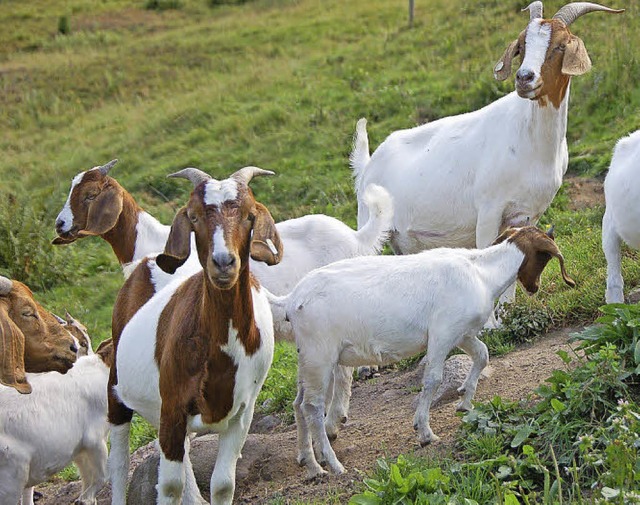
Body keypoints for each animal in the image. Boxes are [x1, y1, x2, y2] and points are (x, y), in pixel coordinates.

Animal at [0, 336, 114, 504]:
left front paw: (87, 500)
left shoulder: (80, 448)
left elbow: (87, 475)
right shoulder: (95, 440)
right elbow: (102, 475)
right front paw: (83, 499)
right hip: (13, 474)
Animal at [108, 166, 282, 504]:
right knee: (119, 463)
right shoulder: (173, 406)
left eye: (249, 215)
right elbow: (169, 486)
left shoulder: (243, 413)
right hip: (117, 386)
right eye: (194, 216)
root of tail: (146, 261)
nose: (223, 262)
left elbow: (223, 484)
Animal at [268, 225, 576, 476]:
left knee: (298, 404)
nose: (534, 288)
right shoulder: (442, 333)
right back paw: (332, 464)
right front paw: (425, 432)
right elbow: (433, 379)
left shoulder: (462, 333)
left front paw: (465, 401)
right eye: (545, 257)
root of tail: (291, 300)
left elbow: (482, 355)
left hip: (307, 357)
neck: (481, 273)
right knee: (312, 406)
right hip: (320, 355)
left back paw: (309, 463)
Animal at [352, 1, 624, 310]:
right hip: (370, 223)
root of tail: (368, 164)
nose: (524, 78)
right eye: (521, 44)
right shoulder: (489, 210)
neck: (531, 141)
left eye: (559, 45)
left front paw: (508, 313)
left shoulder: (527, 215)